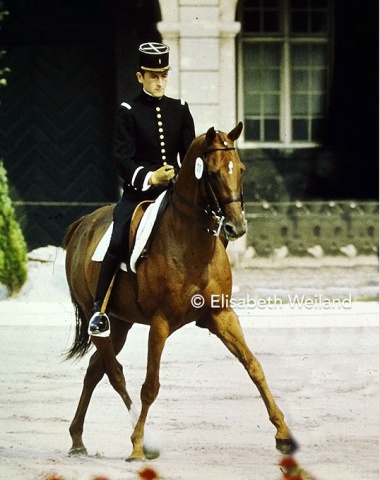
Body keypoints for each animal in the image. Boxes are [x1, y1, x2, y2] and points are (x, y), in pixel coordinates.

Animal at [62, 123, 296, 462]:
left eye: (241, 169)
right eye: (211, 173)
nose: (236, 227)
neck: (191, 242)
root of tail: (84, 223)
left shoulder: (221, 315)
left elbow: (254, 367)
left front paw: (283, 433)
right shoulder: (160, 324)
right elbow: (150, 386)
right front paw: (136, 446)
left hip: (120, 322)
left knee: (95, 370)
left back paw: (78, 439)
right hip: (99, 320)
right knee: (114, 371)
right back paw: (141, 440)